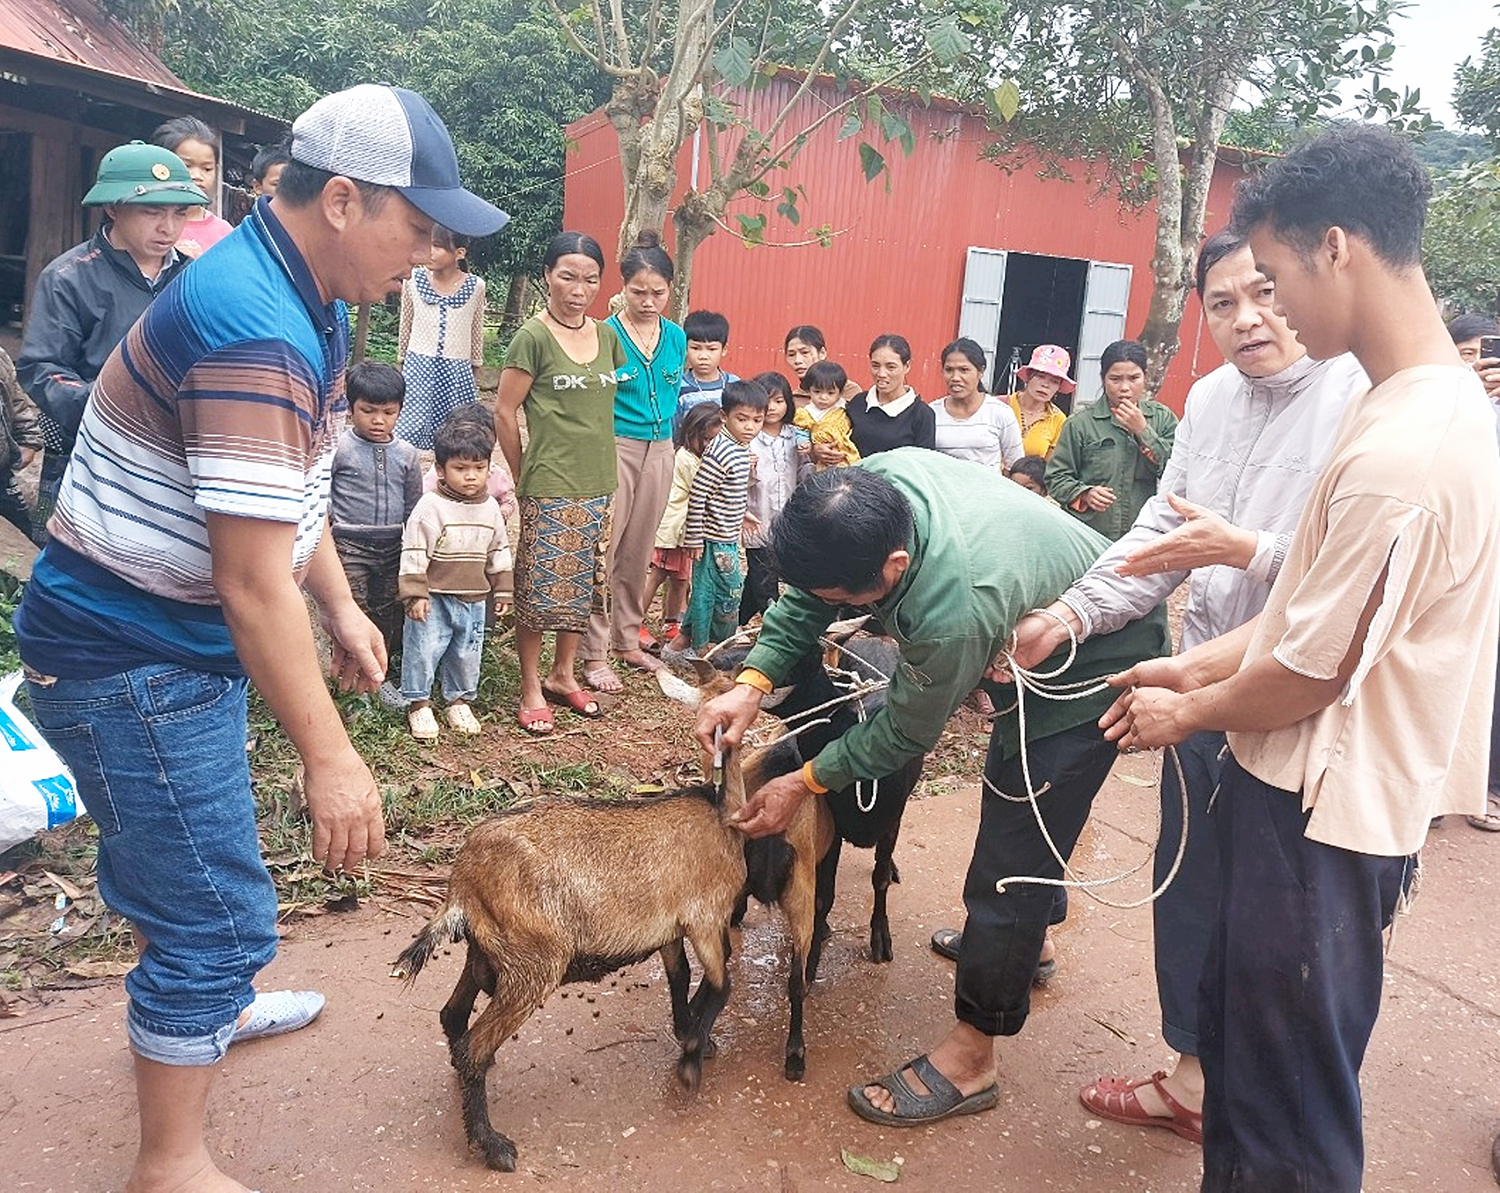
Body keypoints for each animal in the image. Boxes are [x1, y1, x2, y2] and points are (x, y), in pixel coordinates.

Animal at [393, 747, 762, 1176]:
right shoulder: (705, 918)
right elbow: (722, 985)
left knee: (453, 1014)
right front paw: (690, 1064)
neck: (721, 812)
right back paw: (493, 1145)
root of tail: (462, 885)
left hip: (485, 950)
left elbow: (680, 975)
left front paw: (690, 1036)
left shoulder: (670, 929)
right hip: (534, 963)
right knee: (475, 1047)